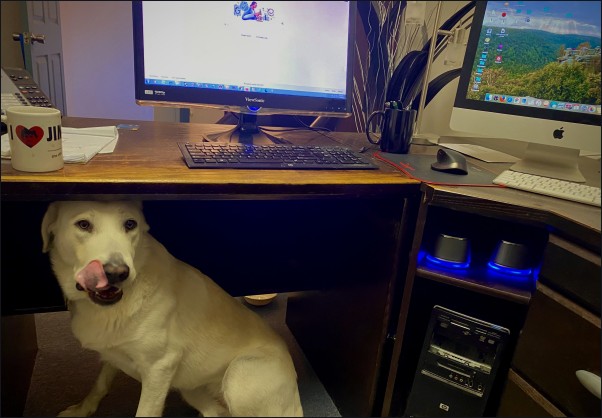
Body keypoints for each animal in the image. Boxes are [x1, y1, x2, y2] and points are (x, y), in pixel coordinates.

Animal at [41, 201, 302, 416]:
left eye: (130, 224)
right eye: (83, 224)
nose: (117, 273)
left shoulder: (160, 368)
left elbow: (144, 412)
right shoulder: (113, 353)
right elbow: (100, 384)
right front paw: (81, 410)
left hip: (239, 375)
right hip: (191, 389)